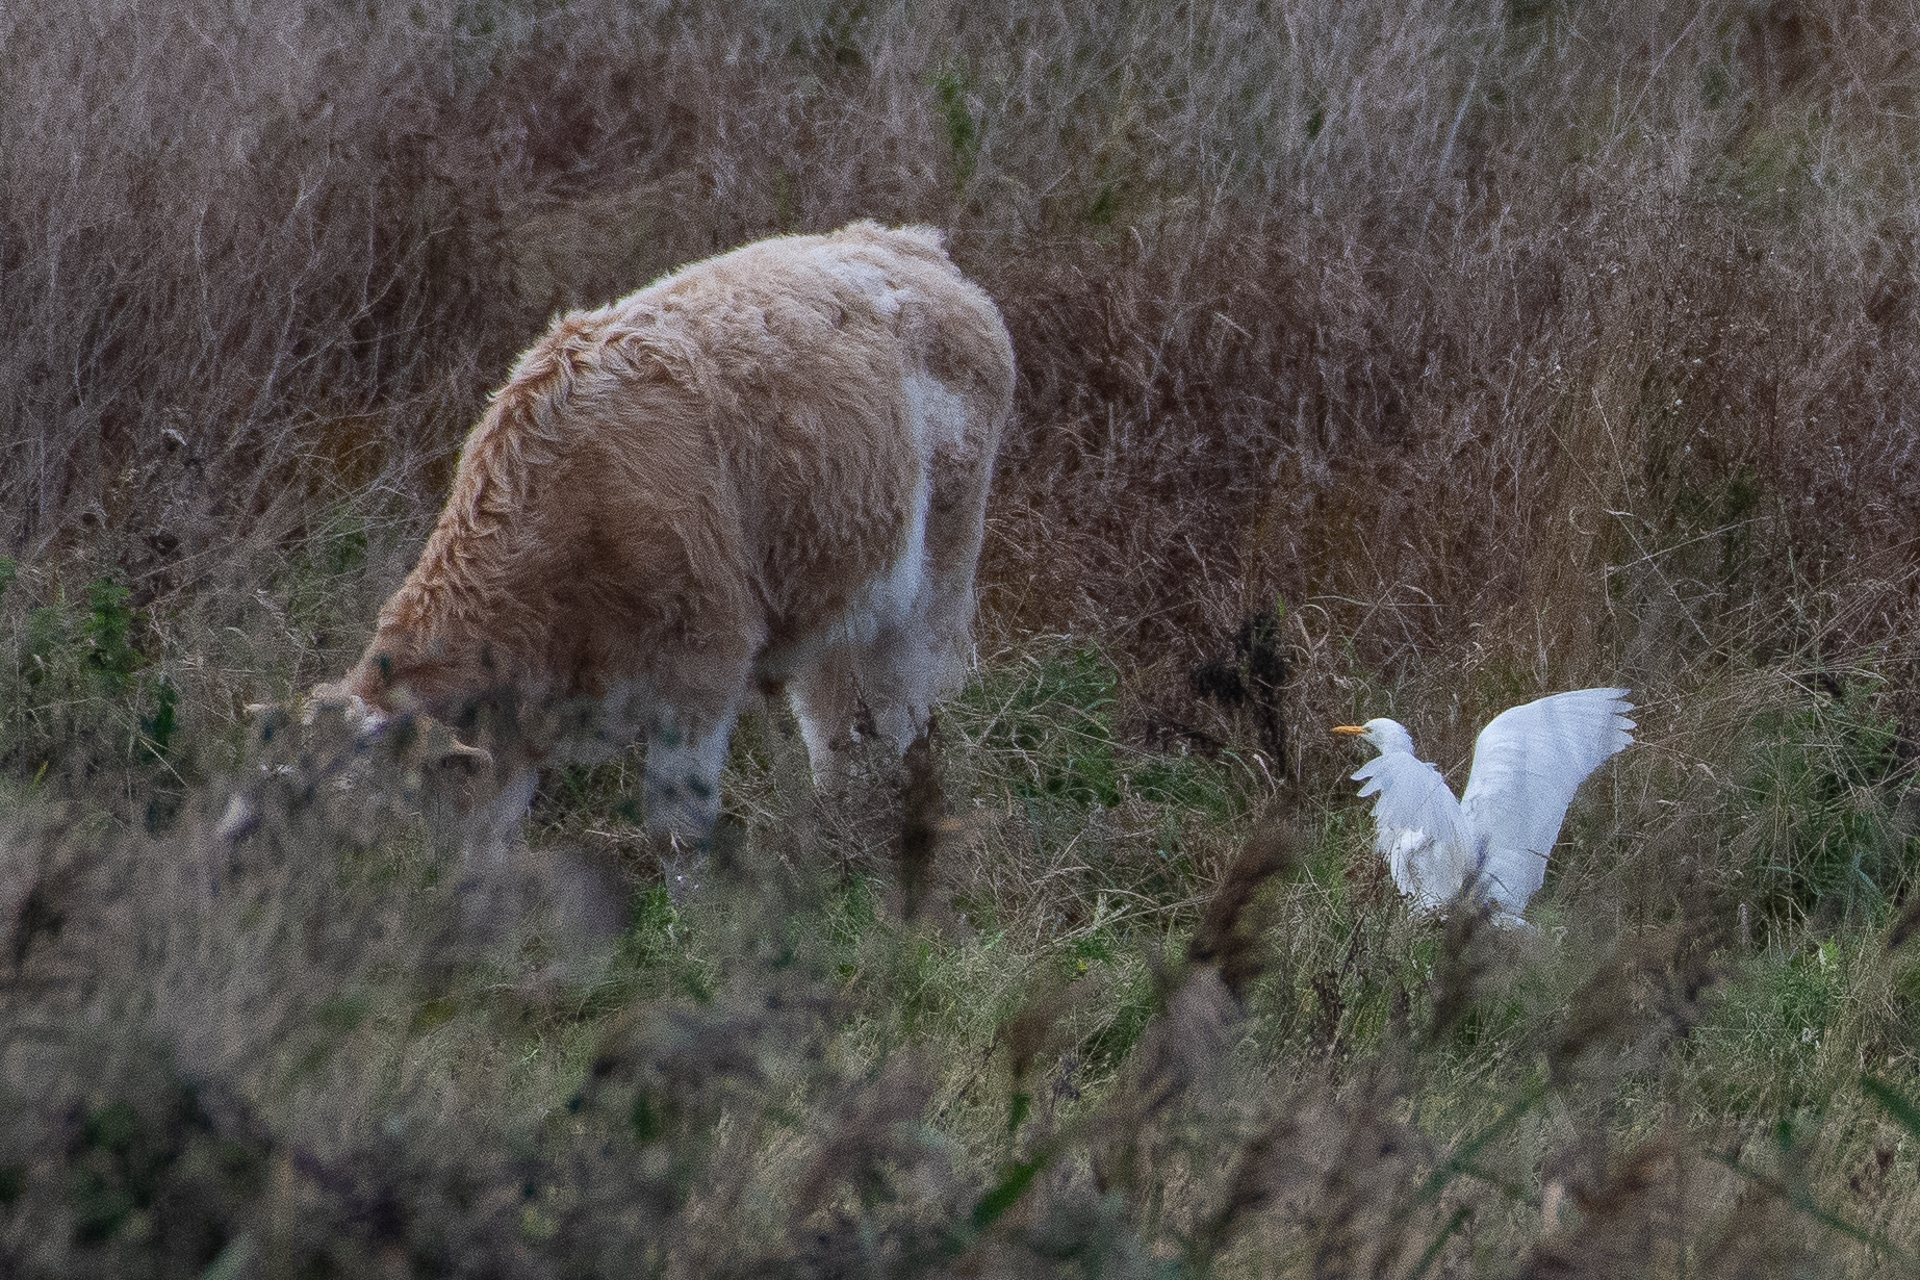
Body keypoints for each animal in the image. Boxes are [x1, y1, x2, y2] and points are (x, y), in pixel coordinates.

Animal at [299, 222, 1013, 871]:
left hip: (934, 579)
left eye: (389, 826)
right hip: (835, 586)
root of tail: (911, 244)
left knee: (905, 714)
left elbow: (677, 831)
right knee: (832, 721)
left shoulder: (703, 666)